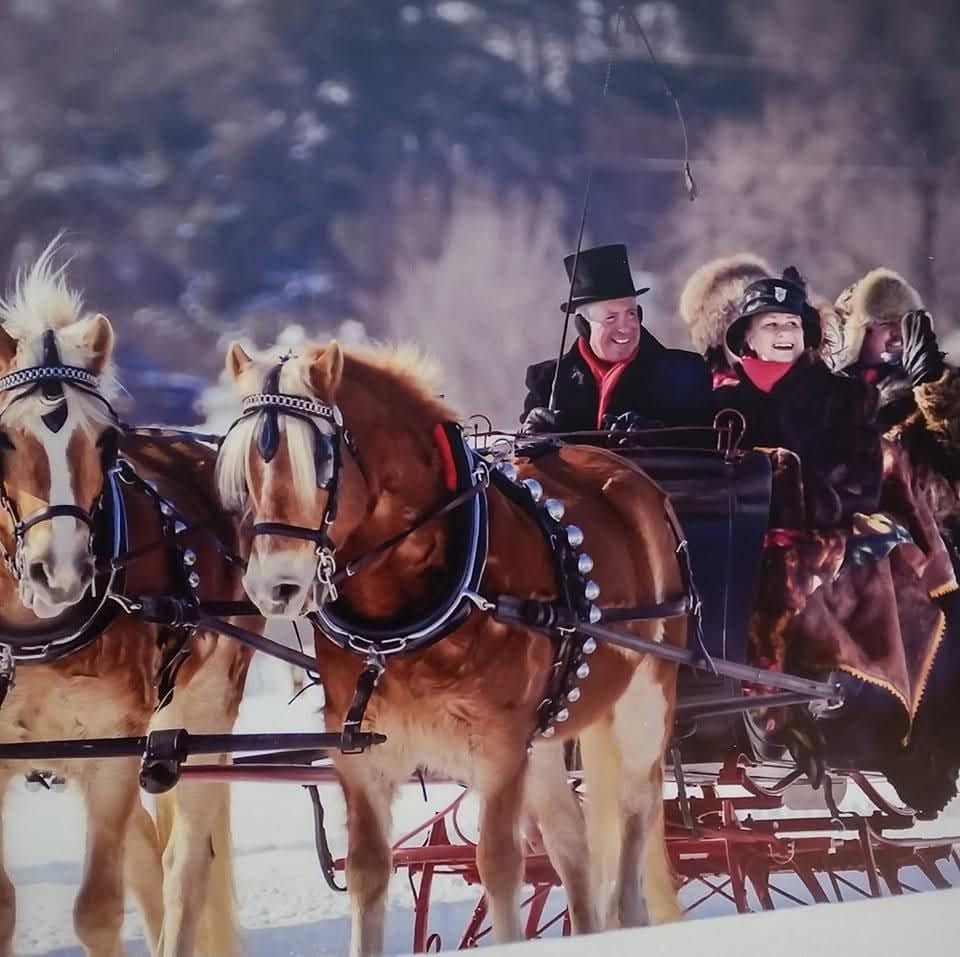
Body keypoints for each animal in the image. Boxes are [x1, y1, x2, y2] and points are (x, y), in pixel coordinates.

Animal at [0, 246, 255, 956]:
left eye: (107, 442)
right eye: (3, 440)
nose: (59, 572)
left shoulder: (112, 745)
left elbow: (97, 908)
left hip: (203, 710)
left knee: (183, 869)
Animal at [215, 340, 688, 952]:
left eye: (321, 462)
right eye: (245, 466)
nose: (275, 586)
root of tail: (631, 475)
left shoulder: (500, 747)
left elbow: (500, 866)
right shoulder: (364, 757)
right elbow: (368, 871)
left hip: (643, 701)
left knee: (634, 817)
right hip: (547, 736)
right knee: (573, 845)